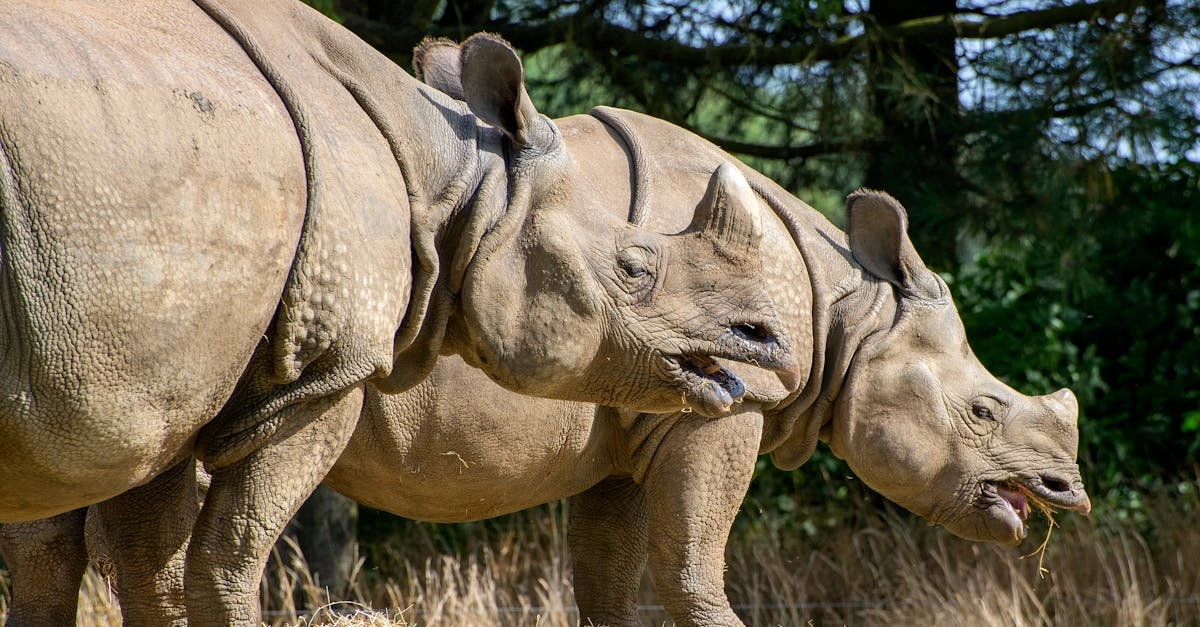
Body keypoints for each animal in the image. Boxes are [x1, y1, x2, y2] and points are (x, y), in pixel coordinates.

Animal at [0, 0, 803, 623]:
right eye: (634, 270)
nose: (767, 341)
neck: (464, 183)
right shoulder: (319, 371)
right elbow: (225, 561)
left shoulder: (176, 374)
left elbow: (150, 570)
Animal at [0, 98, 1092, 626]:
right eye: (986, 409)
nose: (1066, 491)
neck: (846, 311)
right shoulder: (723, 406)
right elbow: (693, 570)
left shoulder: (640, 413)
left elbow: (609, 580)